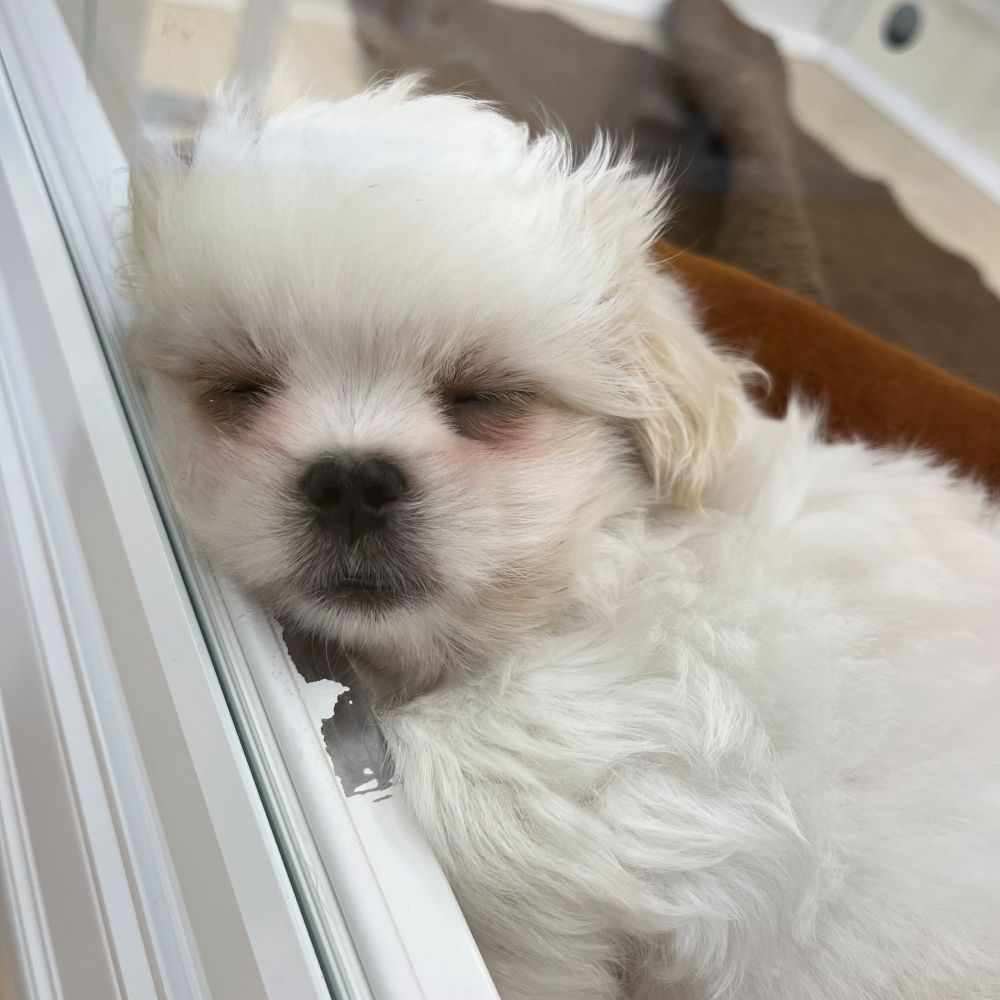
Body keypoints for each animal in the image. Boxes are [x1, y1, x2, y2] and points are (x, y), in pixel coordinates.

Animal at [125, 81, 1000, 999]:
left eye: (485, 397)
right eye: (240, 388)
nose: (352, 481)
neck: (597, 569)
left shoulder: (675, 715)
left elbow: (453, 758)